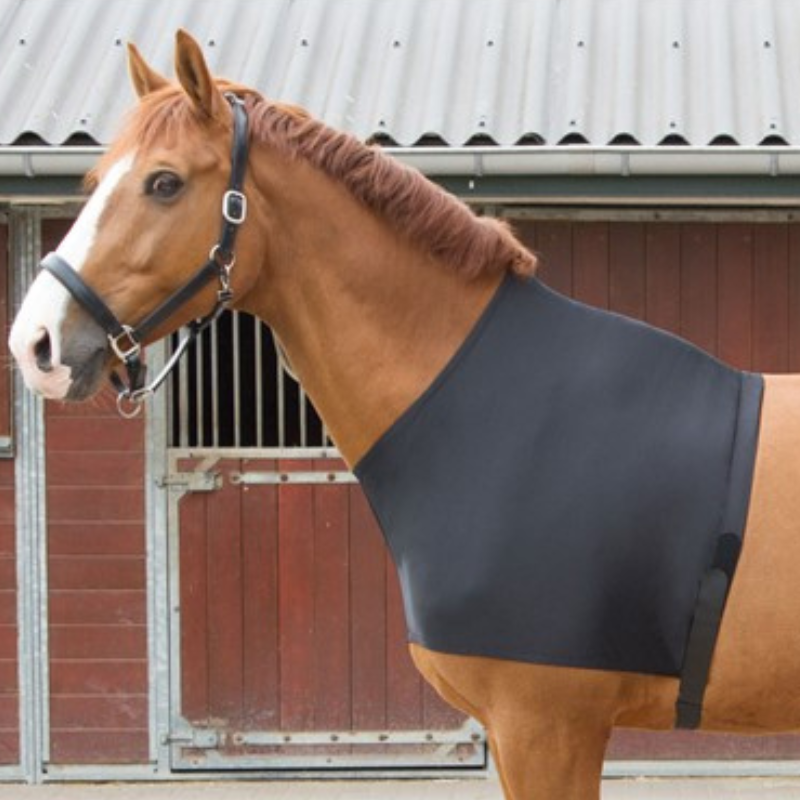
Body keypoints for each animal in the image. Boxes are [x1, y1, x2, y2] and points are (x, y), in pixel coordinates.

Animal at [9, 30, 800, 800]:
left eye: (164, 182)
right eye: (94, 181)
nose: (35, 341)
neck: (502, 412)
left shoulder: (546, 727)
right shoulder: (524, 734)